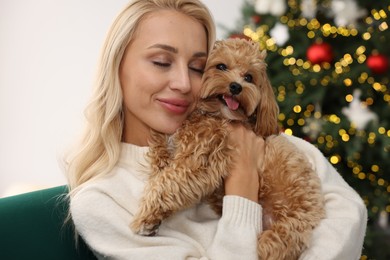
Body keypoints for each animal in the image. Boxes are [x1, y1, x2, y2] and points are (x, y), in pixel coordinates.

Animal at [129, 38, 324, 260]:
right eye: (221, 66)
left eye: (249, 77)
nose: (236, 87)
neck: (215, 116)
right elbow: (161, 153)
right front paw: (158, 155)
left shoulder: (203, 158)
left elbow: (167, 183)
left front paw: (145, 217)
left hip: (292, 222)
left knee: (279, 243)